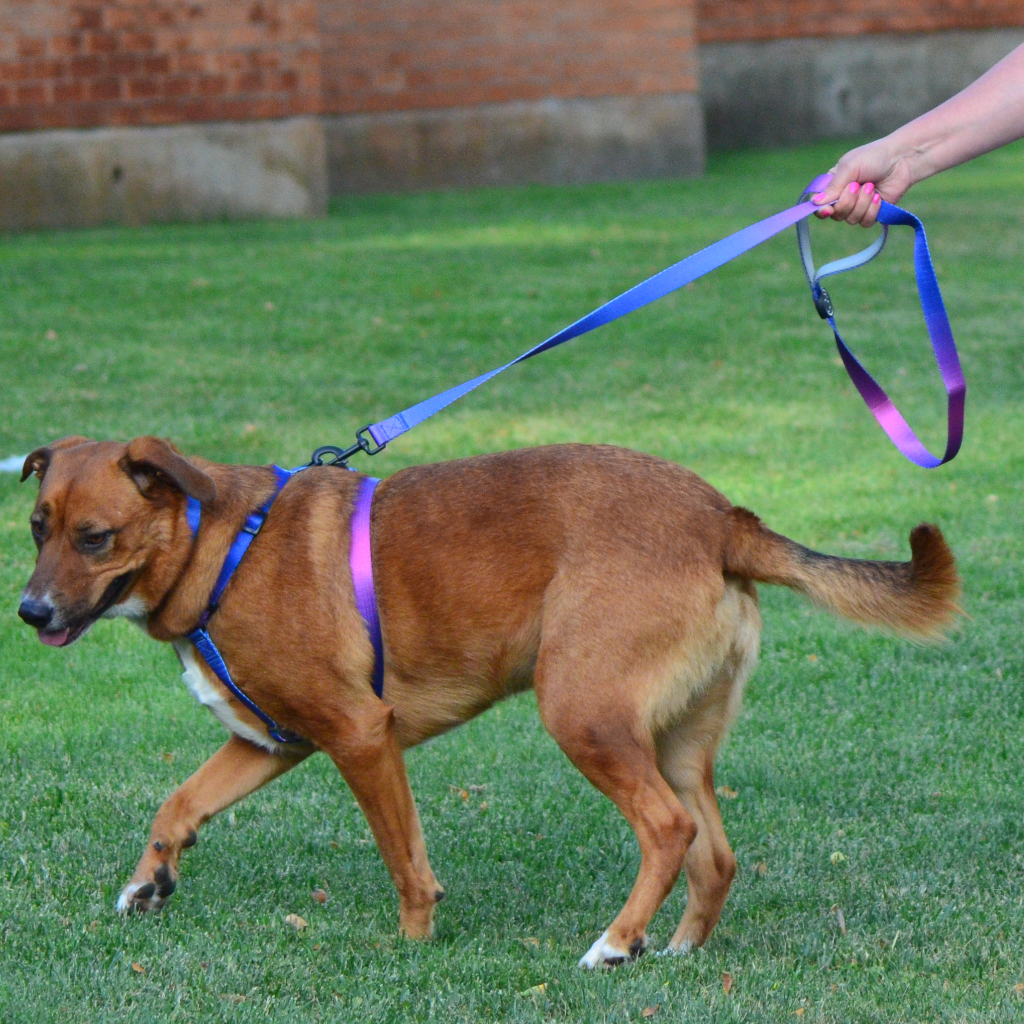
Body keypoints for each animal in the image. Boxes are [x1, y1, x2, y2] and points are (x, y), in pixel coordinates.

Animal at [18, 436, 958, 962]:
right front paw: (149, 883)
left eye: (94, 538)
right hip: (678, 742)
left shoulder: (361, 736)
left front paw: (413, 946)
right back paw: (680, 948)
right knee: (715, 854)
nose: (29, 612)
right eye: (36, 526)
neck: (220, 542)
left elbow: (405, 859)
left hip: (582, 714)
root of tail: (724, 520)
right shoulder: (269, 742)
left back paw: (616, 944)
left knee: (667, 831)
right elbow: (177, 805)